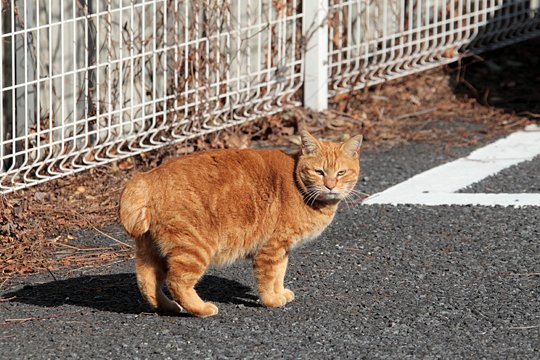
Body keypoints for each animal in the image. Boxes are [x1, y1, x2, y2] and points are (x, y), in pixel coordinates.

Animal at [118, 131, 362, 316]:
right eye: (319, 172)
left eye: (341, 172)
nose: (330, 185)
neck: (299, 185)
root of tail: (147, 176)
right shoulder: (271, 248)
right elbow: (268, 278)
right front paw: (271, 300)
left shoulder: (283, 250)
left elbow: (279, 274)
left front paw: (280, 293)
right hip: (195, 248)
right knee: (177, 281)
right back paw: (201, 309)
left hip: (150, 250)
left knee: (146, 280)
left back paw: (167, 307)